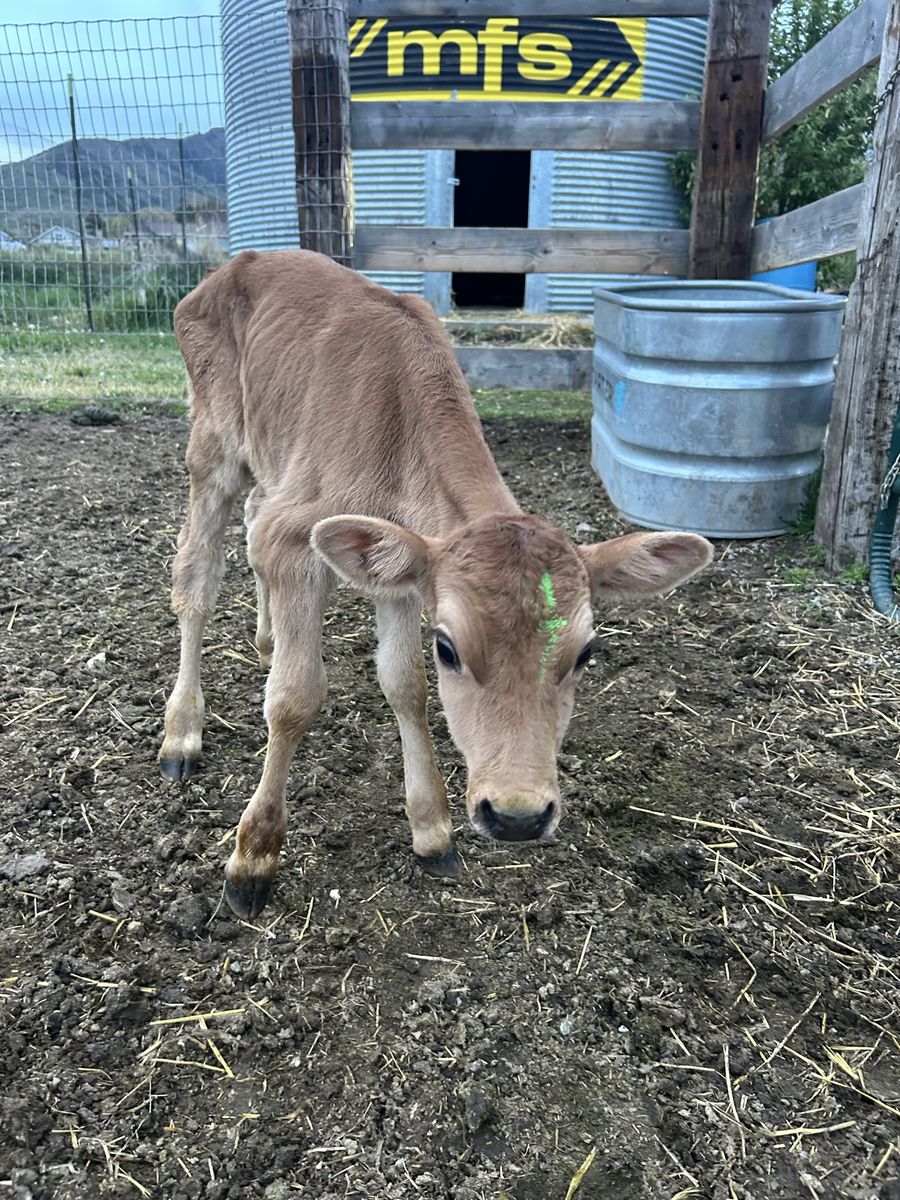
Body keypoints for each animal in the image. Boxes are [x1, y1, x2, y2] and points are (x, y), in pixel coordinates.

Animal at [159, 250, 712, 919]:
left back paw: (267, 640)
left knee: (251, 519)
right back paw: (181, 732)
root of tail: (236, 264)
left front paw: (432, 830)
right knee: (197, 575)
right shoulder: (298, 535)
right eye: (449, 647)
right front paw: (253, 858)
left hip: (270, 459)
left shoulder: (398, 569)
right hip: (213, 441)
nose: (518, 815)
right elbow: (295, 697)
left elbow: (405, 685)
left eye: (586, 653)